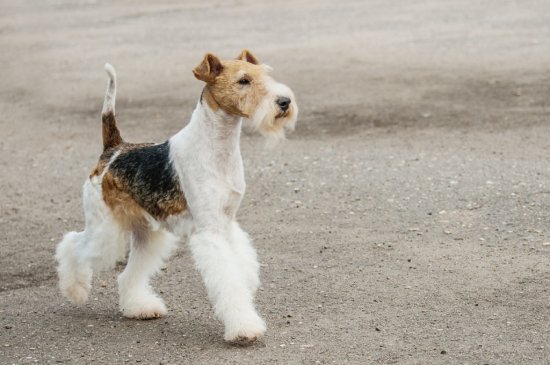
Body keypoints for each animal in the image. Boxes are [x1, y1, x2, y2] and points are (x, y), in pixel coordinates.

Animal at [54, 49, 300, 344]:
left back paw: (140, 307)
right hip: (106, 229)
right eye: (243, 81)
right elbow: (228, 280)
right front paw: (244, 328)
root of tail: (113, 149)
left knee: (127, 274)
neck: (219, 147)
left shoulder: (228, 223)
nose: (284, 102)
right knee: (72, 244)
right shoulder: (210, 231)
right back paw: (75, 290)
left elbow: (241, 267)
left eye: (266, 75)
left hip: (148, 233)